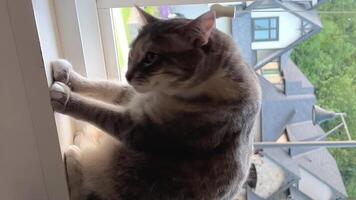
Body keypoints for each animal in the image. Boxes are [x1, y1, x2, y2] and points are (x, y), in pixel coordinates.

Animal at [49, 7, 262, 200]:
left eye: (151, 57)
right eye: (131, 54)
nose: (127, 76)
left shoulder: (140, 128)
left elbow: (98, 110)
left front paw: (64, 98)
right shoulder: (134, 97)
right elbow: (104, 87)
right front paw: (68, 77)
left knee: (81, 188)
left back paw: (74, 153)